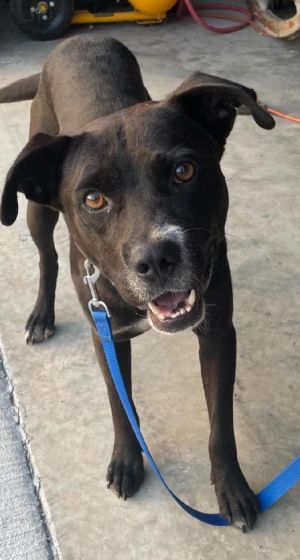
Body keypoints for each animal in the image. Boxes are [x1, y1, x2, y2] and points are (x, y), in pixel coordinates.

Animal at [0, 34, 274, 528]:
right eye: (93, 199)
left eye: (184, 171)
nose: (157, 259)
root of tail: (78, 36)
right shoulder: (105, 333)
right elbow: (119, 403)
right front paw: (127, 461)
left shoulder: (219, 333)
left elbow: (220, 422)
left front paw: (232, 488)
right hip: (34, 209)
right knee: (47, 258)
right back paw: (41, 316)